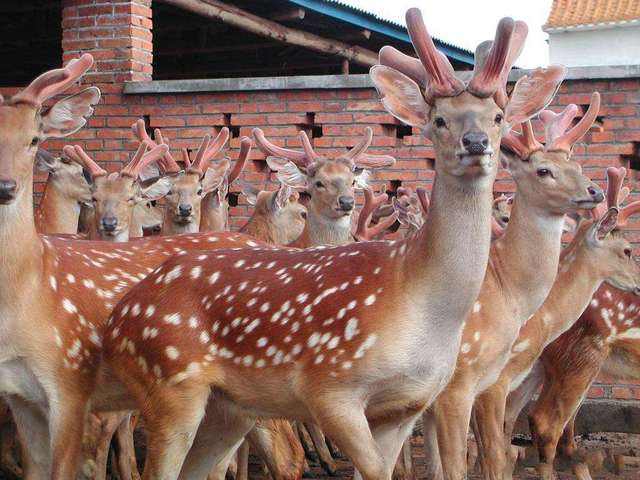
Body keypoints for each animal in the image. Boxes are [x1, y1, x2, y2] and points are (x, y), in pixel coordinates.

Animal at [100, 9, 564, 478]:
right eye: (438, 119)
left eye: (498, 117)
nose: (476, 143)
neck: (418, 299)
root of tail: (117, 320)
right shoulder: (329, 386)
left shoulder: (407, 405)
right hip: (170, 384)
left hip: (228, 408)